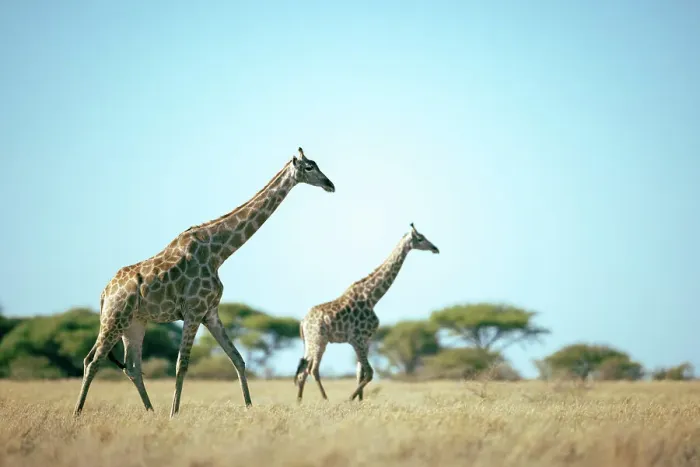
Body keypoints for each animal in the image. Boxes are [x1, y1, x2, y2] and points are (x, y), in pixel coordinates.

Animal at [73, 147, 335, 418]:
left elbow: (238, 359)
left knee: (132, 366)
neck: (218, 252)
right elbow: (181, 364)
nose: (330, 184)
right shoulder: (194, 311)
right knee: (92, 360)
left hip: (134, 323)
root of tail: (105, 292)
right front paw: (174, 413)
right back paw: (78, 413)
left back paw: (150, 411)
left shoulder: (210, 312)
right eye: (309, 167)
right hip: (114, 318)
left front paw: (249, 407)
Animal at [294, 222, 439, 402]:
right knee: (313, 369)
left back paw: (299, 402)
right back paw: (325, 400)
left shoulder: (367, 340)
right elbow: (369, 373)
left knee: (303, 370)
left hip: (311, 342)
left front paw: (359, 401)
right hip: (319, 340)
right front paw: (350, 400)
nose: (435, 248)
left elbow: (360, 373)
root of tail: (302, 321)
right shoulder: (356, 339)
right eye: (420, 238)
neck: (372, 297)